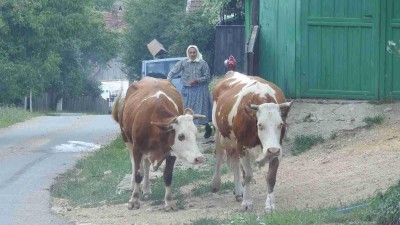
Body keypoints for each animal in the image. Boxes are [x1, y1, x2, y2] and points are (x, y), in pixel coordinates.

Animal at [112, 77, 206, 211]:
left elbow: (167, 176)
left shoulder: (171, 151)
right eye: (181, 136)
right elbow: (138, 174)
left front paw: (169, 202)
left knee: (146, 164)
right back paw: (134, 186)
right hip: (127, 140)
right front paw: (134, 200)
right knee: (134, 165)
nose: (199, 158)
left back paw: (146, 188)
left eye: (195, 133)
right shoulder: (137, 148)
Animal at [211, 71, 292, 213]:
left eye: (281, 124)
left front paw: (270, 205)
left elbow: (271, 177)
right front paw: (247, 203)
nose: (272, 150)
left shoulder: (278, 148)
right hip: (218, 133)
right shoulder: (242, 146)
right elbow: (248, 175)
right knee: (219, 157)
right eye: (260, 125)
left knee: (235, 164)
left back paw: (239, 191)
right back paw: (216, 183)